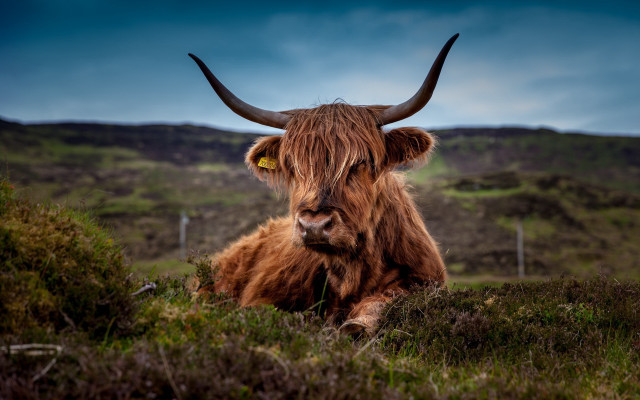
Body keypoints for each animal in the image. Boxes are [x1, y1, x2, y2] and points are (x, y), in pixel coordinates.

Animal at [189, 33, 458, 335]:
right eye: (293, 166)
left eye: (361, 162)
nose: (314, 225)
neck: (352, 273)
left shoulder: (424, 281)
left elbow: (386, 299)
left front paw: (357, 324)